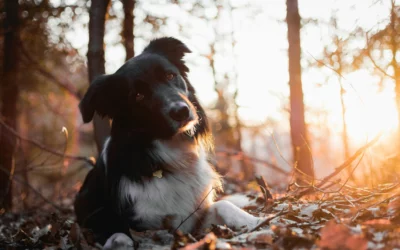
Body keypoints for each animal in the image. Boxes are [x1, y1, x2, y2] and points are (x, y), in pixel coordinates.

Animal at [74, 36, 262, 248]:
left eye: (170, 75)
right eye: (138, 96)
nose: (181, 111)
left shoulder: (192, 218)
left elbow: (223, 204)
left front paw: (255, 221)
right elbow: (118, 233)